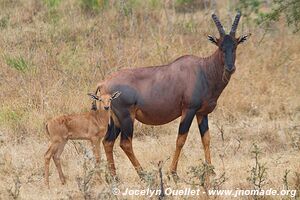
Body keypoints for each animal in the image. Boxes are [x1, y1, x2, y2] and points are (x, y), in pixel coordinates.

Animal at [96, 12, 248, 180]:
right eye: (220, 46)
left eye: (235, 45)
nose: (230, 68)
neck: (203, 70)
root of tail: (104, 83)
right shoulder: (188, 110)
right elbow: (180, 139)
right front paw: (173, 173)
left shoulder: (202, 113)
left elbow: (206, 139)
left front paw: (211, 170)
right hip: (126, 117)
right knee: (125, 143)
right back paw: (143, 174)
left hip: (115, 119)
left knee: (108, 141)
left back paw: (113, 177)